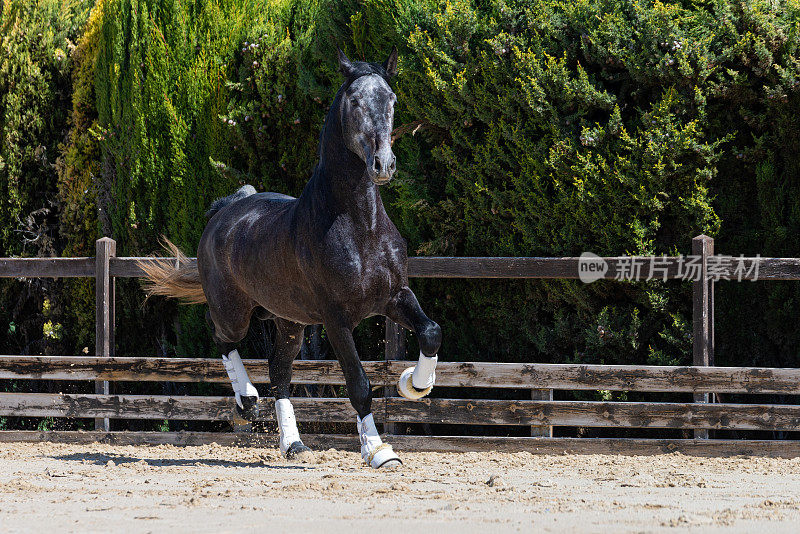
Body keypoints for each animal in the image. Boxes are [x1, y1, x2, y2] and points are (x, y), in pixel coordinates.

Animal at [144, 49, 444, 468]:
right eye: (355, 102)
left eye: (392, 99)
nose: (383, 164)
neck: (360, 226)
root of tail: (226, 209)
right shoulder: (336, 319)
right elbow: (359, 384)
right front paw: (379, 451)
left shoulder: (394, 297)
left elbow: (430, 331)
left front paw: (413, 385)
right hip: (236, 313)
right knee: (220, 335)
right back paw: (245, 400)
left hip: (289, 321)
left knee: (279, 372)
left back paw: (293, 444)